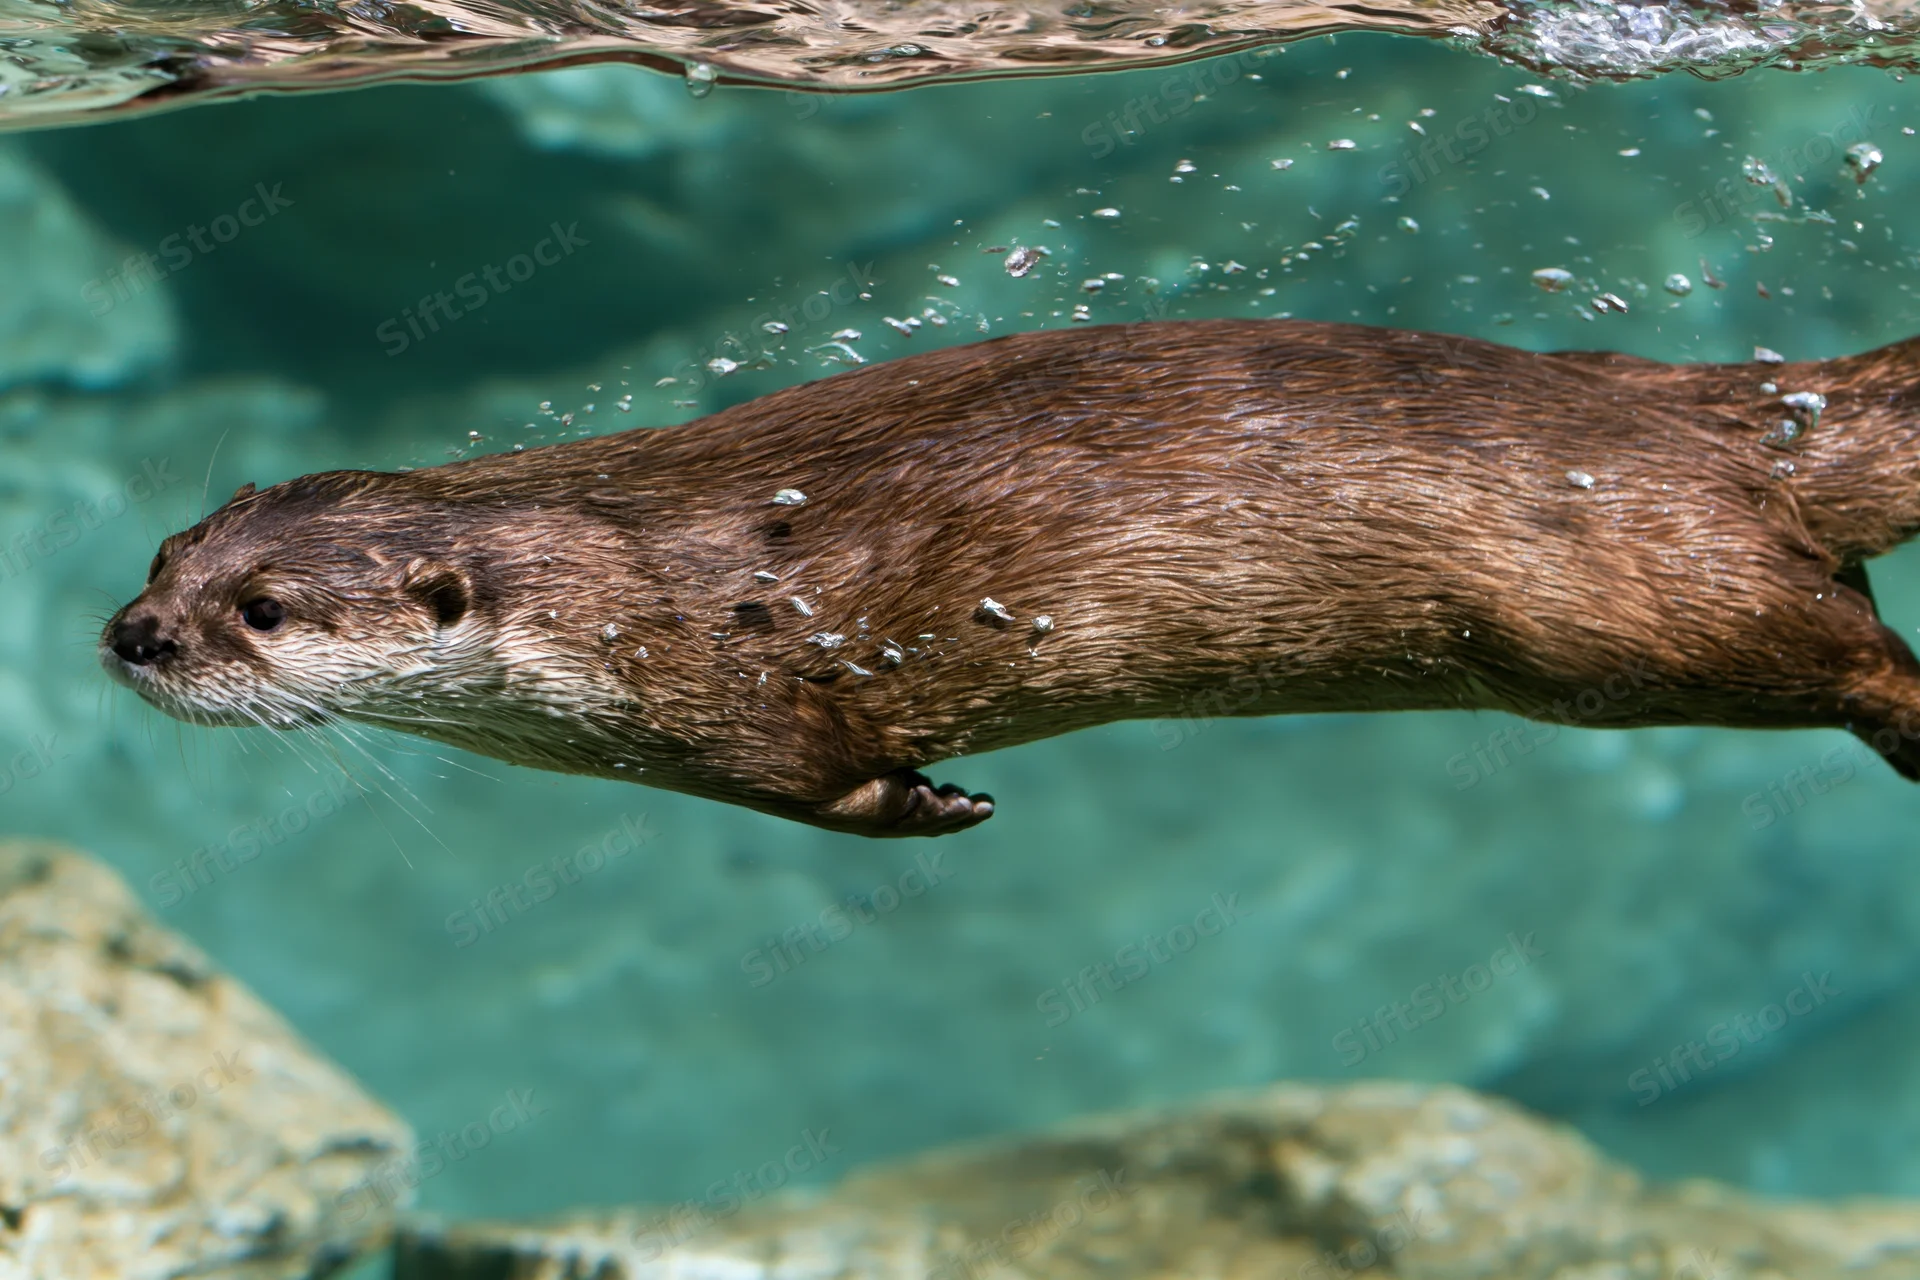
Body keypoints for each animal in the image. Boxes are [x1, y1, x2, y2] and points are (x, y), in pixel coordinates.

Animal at [99, 319, 1920, 836]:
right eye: (166, 555)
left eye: (259, 615)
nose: (133, 638)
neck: (598, 584)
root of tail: (1719, 417)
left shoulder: (734, 700)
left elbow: (833, 787)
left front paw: (940, 806)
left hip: (1626, 618)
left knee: (1835, 647)